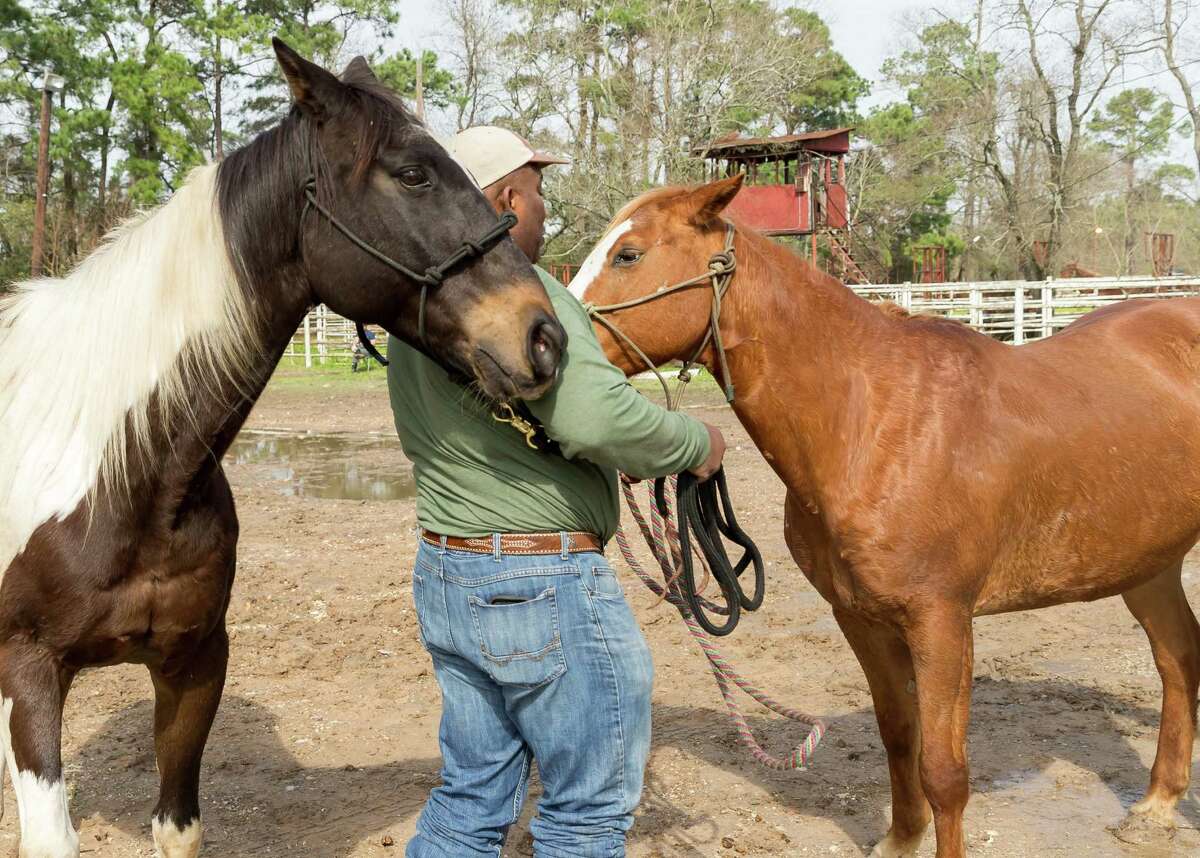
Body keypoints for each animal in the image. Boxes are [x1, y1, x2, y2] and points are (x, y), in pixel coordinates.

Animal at [0, 43, 564, 858]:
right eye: (413, 173)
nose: (543, 338)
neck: (117, 472)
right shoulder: (30, 670)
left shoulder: (195, 663)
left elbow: (178, 828)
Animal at [571, 172, 1200, 858]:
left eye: (628, 255)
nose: (540, 350)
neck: (874, 425)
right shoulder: (860, 617)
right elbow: (900, 736)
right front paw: (900, 839)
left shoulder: (942, 621)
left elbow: (945, 772)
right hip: (1147, 563)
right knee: (1178, 658)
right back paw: (1157, 805)